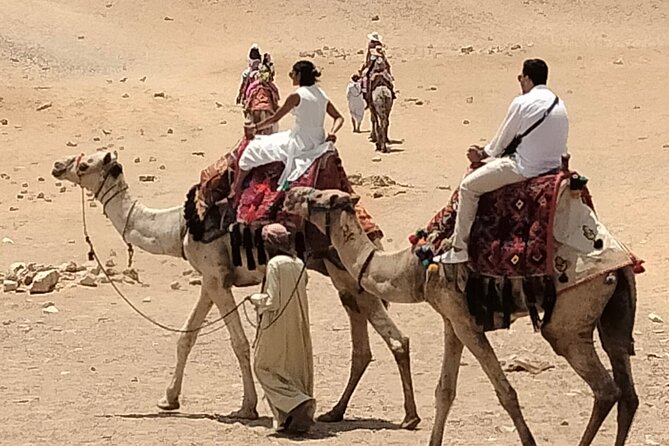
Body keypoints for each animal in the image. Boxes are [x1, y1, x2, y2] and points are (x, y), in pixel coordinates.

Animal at [51, 150, 421, 429]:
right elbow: (186, 336)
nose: (57, 165)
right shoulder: (211, 279)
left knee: (396, 339)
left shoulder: (216, 278)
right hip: (341, 275)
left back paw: (409, 418)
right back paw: (335, 412)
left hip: (345, 270)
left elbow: (239, 343)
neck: (178, 227)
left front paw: (248, 407)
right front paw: (169, 399)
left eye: (85, 165)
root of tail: (365, 221)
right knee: (362, 345)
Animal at [282, 186, 639, 446]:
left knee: (605, 389)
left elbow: (506, 393)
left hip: (570, 315)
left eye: (317, 197)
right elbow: (445, 391)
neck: (413, 267)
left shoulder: (465, 322)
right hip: (614, 314)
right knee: (627, 392)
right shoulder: (450, 320)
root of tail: (621, 261)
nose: (288, 194)